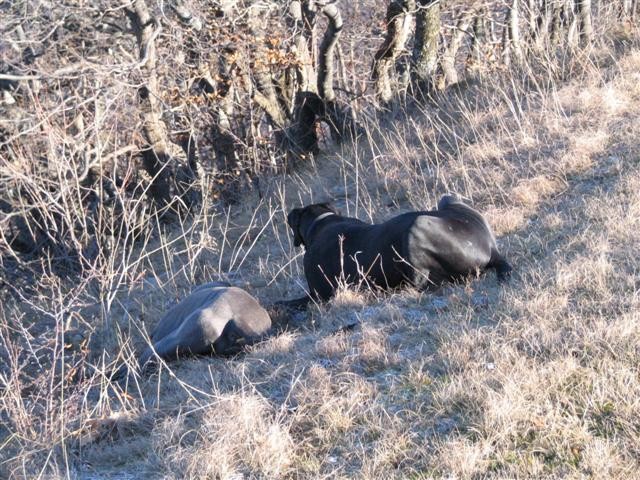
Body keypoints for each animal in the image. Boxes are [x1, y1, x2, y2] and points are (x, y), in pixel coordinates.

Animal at [284, 196, 510, 306]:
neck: (321, 222)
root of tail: (491, 249)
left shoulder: (317, 296)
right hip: (448, 199)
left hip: (417, 228)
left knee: (423, 284)